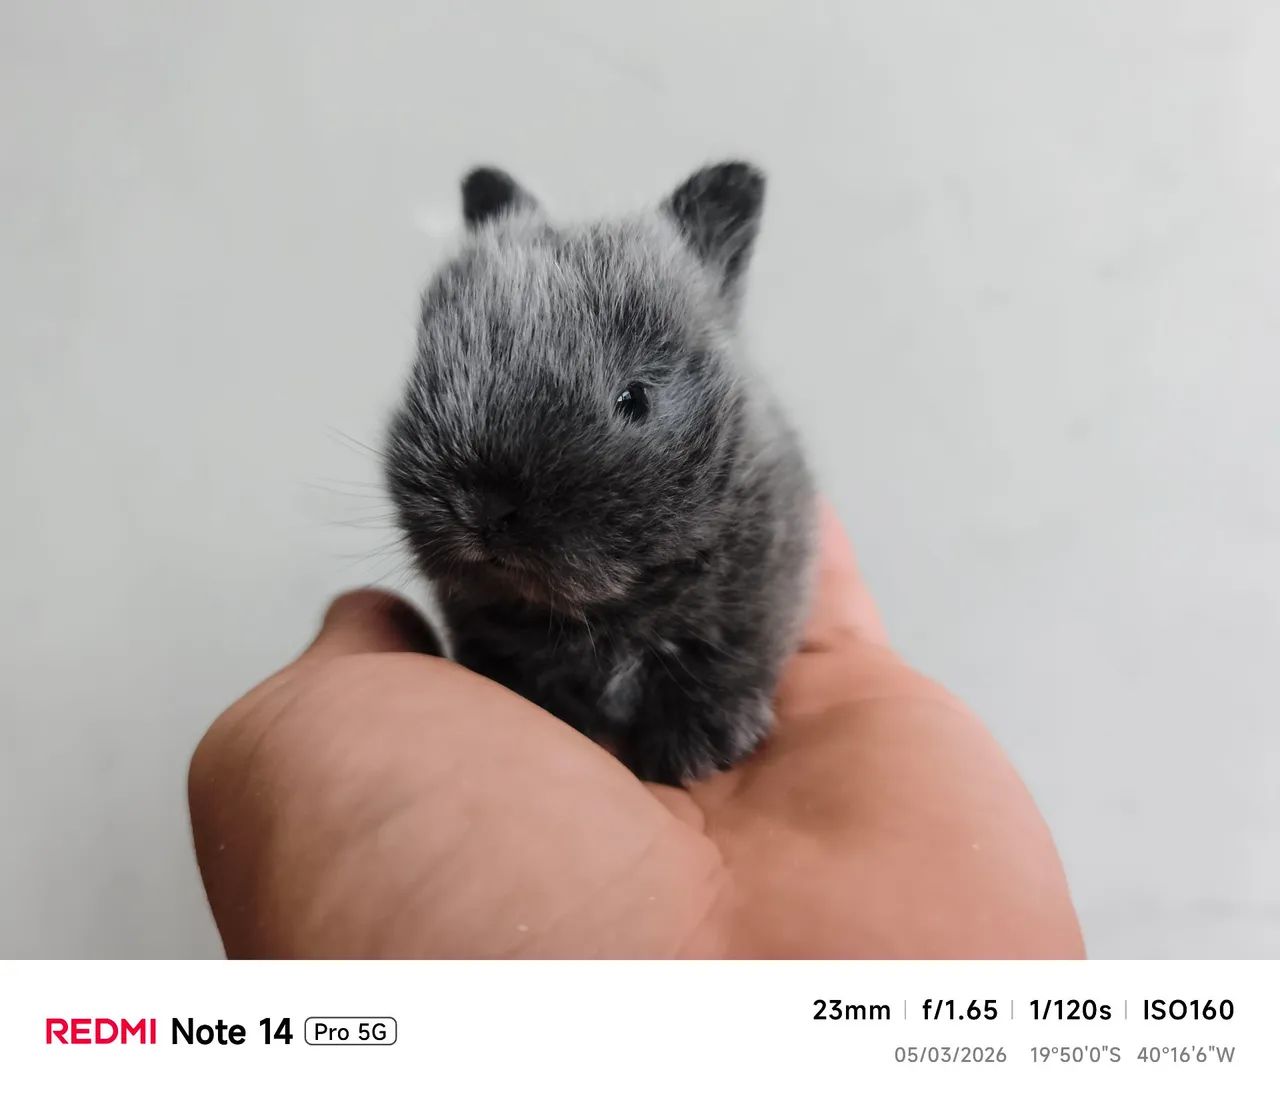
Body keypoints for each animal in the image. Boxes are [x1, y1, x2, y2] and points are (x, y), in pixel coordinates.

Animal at [384, 161, 817, 786]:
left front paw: (695, 751)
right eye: (431, 372)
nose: (483, 508)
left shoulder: (754, 603)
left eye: (634, 399)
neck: (605, 611)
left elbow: (721, 664)